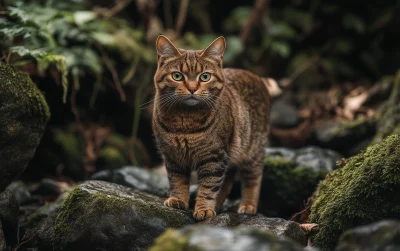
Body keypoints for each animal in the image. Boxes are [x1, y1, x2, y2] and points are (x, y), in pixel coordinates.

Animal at [153, 34, 272, 220]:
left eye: (205, 77)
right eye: (177, 76)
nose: (192, 88)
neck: (185, 121)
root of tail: (256, 76)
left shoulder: (214, 157)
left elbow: (209, 186)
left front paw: (204, 208)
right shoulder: (173, 156)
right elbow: (177, 180)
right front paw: (178, 200)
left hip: (252, 151)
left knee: (253, 178)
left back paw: (248, 205)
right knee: (228, 180)